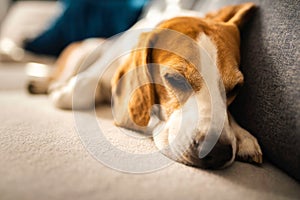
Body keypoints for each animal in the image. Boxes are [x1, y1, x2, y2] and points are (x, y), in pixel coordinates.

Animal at [28, 2, 262, 169]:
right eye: (176, 79)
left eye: (235, 88)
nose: (219, 152)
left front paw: (242, 134)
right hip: (85, 49)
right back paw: (40, 82)